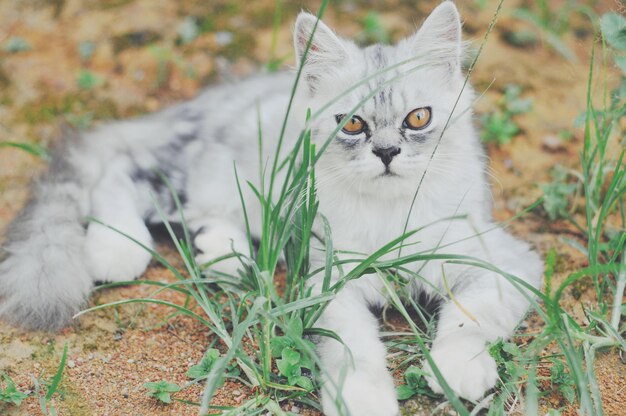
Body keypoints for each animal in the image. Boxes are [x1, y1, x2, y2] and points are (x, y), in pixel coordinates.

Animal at [0, 3, 540, 416]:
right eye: (352, 124)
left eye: (418, 118)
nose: (387, 152)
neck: (389, 217)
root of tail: (210, 99)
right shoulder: (330, 284)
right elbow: (356, 351)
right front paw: (363, 400)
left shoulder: (501, 262)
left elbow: (471, 319)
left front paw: (457, 369)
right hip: (201, 172)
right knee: (119, 171)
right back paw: (119, 247)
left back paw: (224, 254)